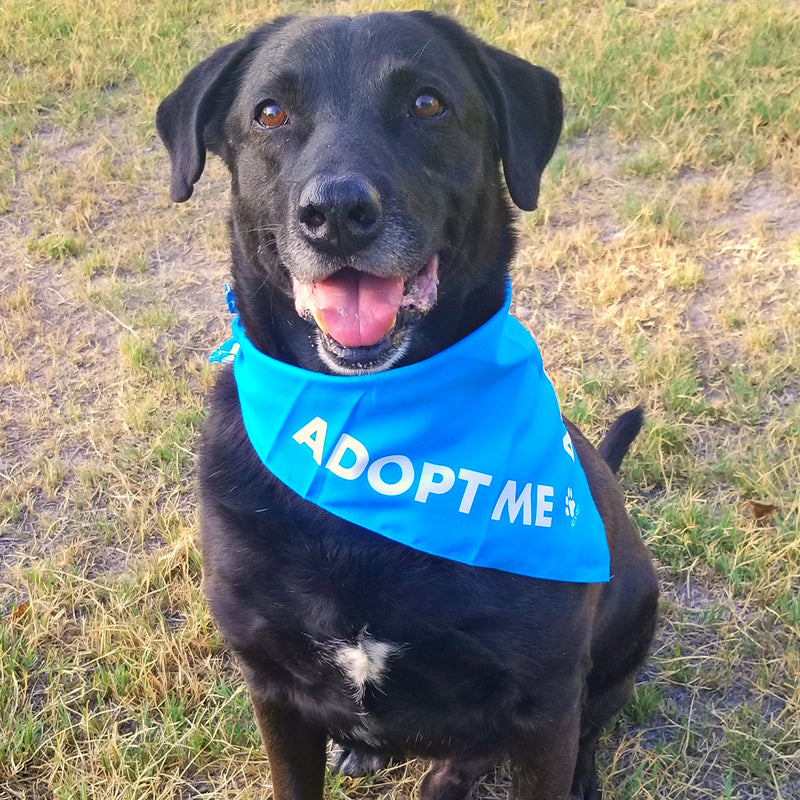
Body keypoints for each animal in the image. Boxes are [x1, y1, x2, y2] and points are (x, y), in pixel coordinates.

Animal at [156, 14, 656, 800]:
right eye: (270, 112)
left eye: (427, 104)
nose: (336, 215)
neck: (370, 425)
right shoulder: (272, 685)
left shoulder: (545, 699)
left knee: (574, 729)